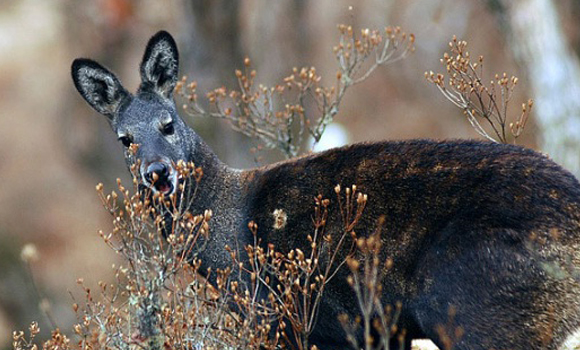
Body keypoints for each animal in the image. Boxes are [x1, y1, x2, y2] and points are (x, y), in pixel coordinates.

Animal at [71, 30, 580, 350]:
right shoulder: (368, 329)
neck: (227, 237)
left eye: (168, 123)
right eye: (125, 139)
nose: (157, 172)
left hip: (474, 307)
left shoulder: (280, 318)